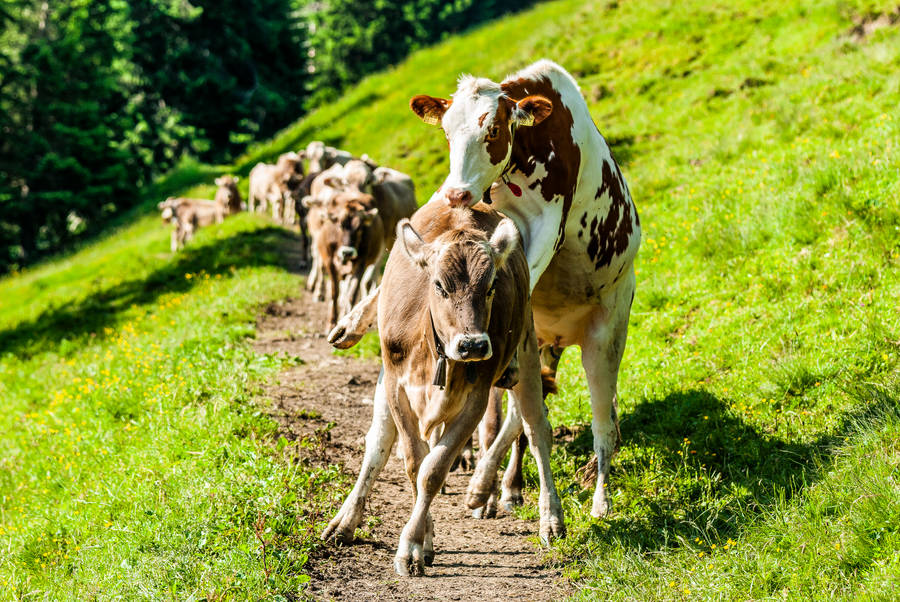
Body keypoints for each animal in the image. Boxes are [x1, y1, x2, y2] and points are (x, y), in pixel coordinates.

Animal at [322, 202, 565, 576]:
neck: (435, 350)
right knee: (378, 444)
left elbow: (432, 470)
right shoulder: (396, 388)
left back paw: (550, 519)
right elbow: (413, 462)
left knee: (537, 431)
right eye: (439, 286)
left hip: (526, 351)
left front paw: (411, 546)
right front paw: (424, 540)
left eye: (491, 287)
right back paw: (345, 522)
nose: (474, 345)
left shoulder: (476, 398)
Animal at [327, 60, 641, 520]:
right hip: (540, 340)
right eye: (446, 132)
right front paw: (353, 320)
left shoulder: (548, 225)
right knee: (519, 414)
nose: (459, 192)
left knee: (599, 423)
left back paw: (588, 498)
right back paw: (501, 486)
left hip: (605, 337)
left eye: (492, 130)